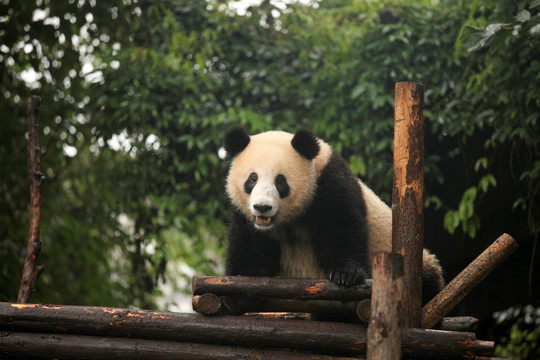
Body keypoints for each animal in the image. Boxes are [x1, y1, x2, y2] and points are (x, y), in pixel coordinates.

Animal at [220, 126, 442, 318]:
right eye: (252, 179)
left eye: (280, 181)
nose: (262, 207)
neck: (289, 218)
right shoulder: (245, 217)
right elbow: (248, 251)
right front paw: (236, 295)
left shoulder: (329, 182)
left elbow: (342, 226)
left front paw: (345, 275)